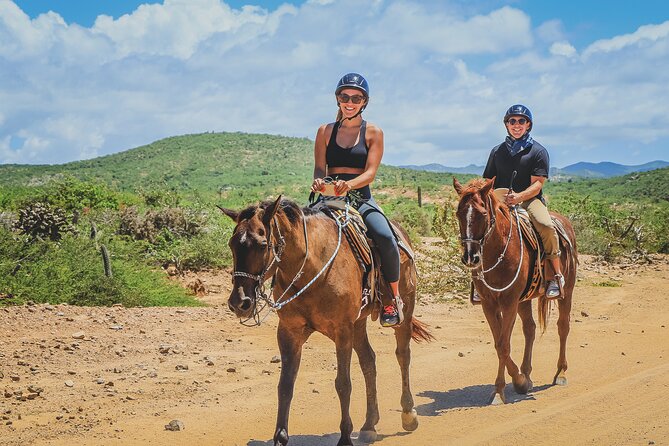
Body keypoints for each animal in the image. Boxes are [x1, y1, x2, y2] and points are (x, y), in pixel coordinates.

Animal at [217, 198, 430, 446]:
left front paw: (345, 437)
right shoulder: (289, 331)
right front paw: (280, 437)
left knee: (403, 355)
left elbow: (343, 384)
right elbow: (285, 384)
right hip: (359, 323)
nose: (239, 302)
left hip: (404, 309)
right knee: (369, 361)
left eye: (262, 245)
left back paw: (408, 414)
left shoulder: (342, 330)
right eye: (232, 244)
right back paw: (369, 425)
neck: (313, 267)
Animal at [452, 177, 576, 404]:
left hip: (567, 291)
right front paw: (519, 381)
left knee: (563, 327)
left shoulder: (509, 301)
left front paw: (501, 390)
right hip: (524, 300)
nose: (470, 257)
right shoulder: (489, 304)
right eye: (458, 213)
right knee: (530, 329)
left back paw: (561, 373)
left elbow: (503, 345)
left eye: (483, 214)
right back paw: (527, 373)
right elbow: (499, 343)